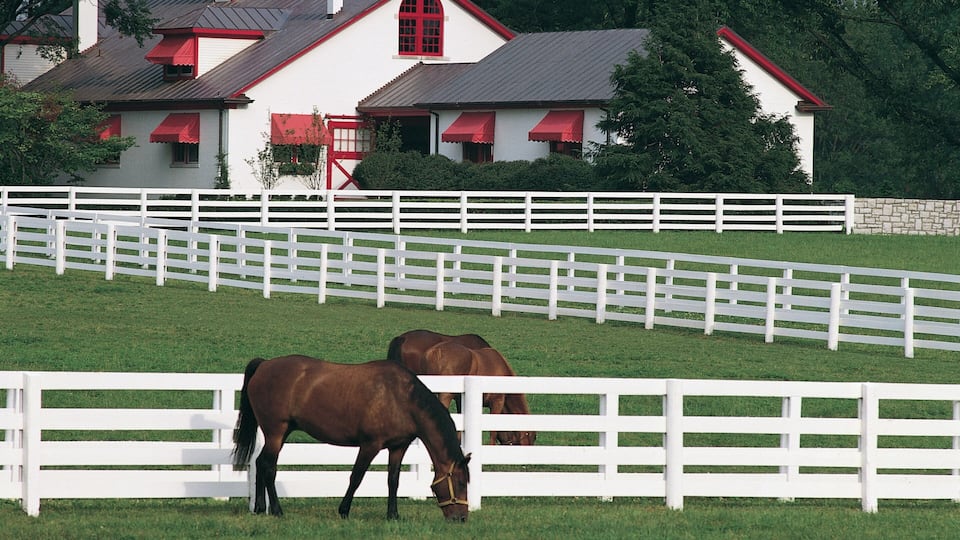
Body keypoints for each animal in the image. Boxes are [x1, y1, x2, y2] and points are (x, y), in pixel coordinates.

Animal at [232, 355, 470, 522]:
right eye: (460, 482)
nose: (461, 518)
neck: (401, 397)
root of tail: (264, 365)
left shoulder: (398, 447)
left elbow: (393, 480)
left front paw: (393, 515)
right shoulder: (369, 445)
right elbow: (356, 477)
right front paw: (344, 511)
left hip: (280, 433)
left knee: (260, 463)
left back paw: (260, 508)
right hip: (276, 432)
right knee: (269, 466)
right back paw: (277, 510)